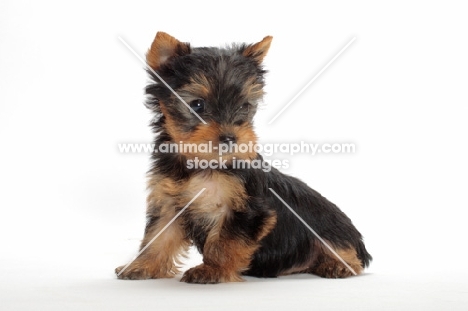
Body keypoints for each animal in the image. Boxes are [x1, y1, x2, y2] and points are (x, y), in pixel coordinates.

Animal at [115, 32, 372, 286]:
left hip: (329, 227)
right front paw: (141, 266)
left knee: (344, 250)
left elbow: (225, 241)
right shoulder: (169, 202)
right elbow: (158, 235)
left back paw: (337, 264)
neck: (203, 162)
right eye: (197, 104)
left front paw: (213, 270)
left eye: (244, 106)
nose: (230, 137)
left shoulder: (247, 210)